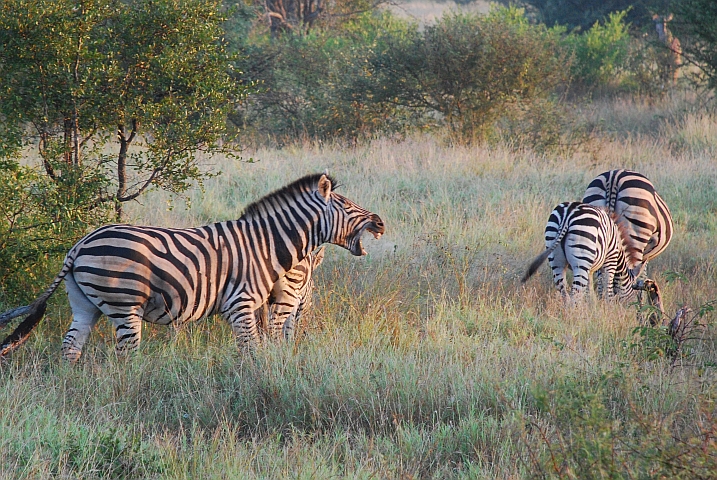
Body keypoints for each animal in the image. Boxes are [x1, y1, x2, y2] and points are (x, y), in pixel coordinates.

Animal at [0, 173, 384, 361]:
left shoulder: (259, 304)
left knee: (70, 347)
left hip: (84, 303)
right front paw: (258, 381)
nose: (380, 222)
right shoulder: (242, 303)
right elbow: (252, 350)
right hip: (124, 303)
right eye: (347, 206)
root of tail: (80, 244)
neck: (266, 244)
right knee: (126, 353)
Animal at [522, 201, 653, 301]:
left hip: (556, 257)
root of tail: (568, 213)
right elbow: (607, 288)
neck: (620, 250)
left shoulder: (590, 269)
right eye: (635, 292)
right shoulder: (610, 261)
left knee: (563, 290)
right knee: (575, 293)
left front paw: (592, 306)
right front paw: (607, 307)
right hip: (581, 258)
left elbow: (589, 290)